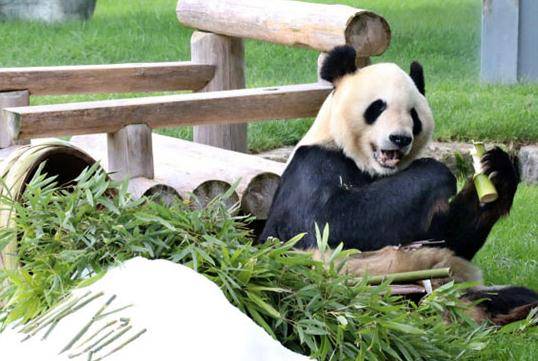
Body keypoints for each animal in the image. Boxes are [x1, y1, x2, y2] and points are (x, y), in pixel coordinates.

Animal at [258, 45, 532, 324]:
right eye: (377, 107)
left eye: (414, 115)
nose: (400, 138)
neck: (372, 169)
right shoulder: (314, 165)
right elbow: (328, 220)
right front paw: (437, 171)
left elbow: (449, 237)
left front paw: (497, 171)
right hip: (377, 292)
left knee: (515, 295)